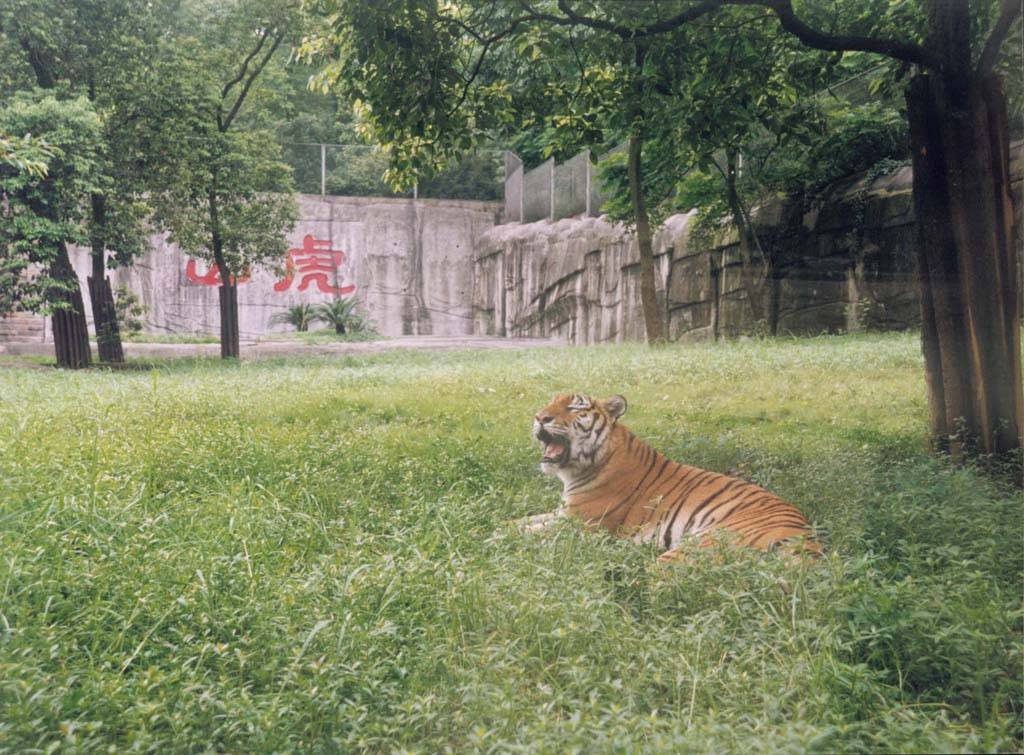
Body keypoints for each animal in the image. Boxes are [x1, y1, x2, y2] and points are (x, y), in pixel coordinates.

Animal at [524, 389, 819, 561]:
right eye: (550, 402)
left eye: (575, 408)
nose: (539, 417)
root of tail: (807, 538)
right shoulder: (562, 513)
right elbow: (523, 521)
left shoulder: (580, 523)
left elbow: (529, 532)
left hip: (702, 543)